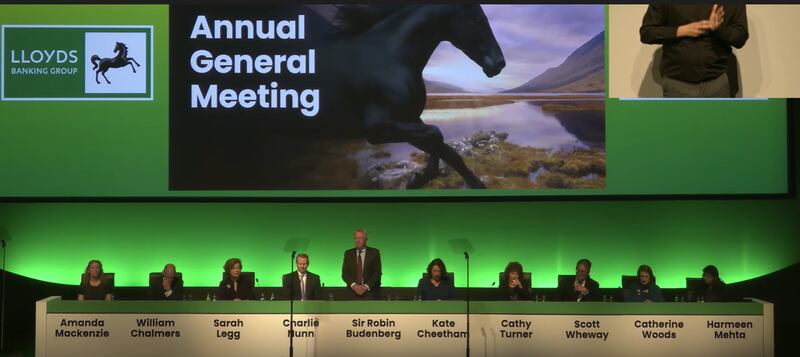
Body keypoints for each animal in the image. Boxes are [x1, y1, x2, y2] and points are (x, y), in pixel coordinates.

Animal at [316, 4, 504, 189]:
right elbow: (436, 134)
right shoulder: (377, 128)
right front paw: (419, 179)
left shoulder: (410, 120)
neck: (391, 59)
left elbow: (446, 149)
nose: (500, 63)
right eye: (478, 20)